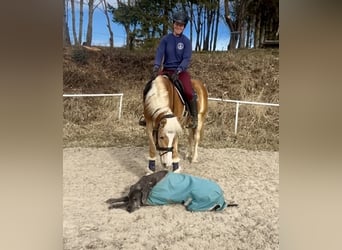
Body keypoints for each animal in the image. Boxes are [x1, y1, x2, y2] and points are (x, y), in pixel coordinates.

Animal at [105, 172, 236, 213]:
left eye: (136, 200)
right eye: (132, 198)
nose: (129, 210)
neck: (148, 184)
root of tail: (222, 198)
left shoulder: (143, 202)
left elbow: (123, 202)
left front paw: (114, 206)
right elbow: (123, 198)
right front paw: (112, 200)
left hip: (195, 205)